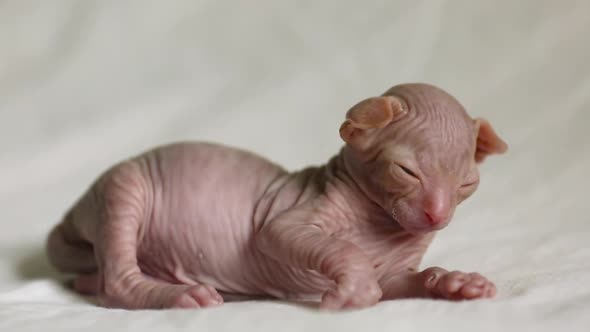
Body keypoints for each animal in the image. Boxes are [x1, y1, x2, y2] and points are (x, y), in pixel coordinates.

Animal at [46, 83, 508, 312]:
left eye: (466, 185)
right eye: (406, 171)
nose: (437, 216)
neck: (382, 226)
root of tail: (66, 220)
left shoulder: (396, 271)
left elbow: (405, 281)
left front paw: (453, 281)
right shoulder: (291, 220)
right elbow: (315, 243)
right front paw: (356, 289)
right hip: (124, 186)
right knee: (116, 281)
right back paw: (175, 297)